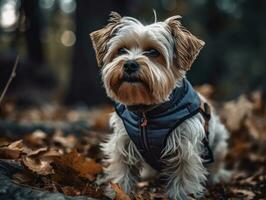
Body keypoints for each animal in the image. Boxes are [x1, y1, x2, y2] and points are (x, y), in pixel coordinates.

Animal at [90, 11, 231, 199]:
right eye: (121, 50)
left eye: (153, 52)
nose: (129, 64)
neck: (147, 111)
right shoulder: (123, 142)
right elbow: (122, 171)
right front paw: (118, 192)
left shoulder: (185, 149)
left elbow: (184, 177)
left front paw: (182, 195)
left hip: (219, 144)